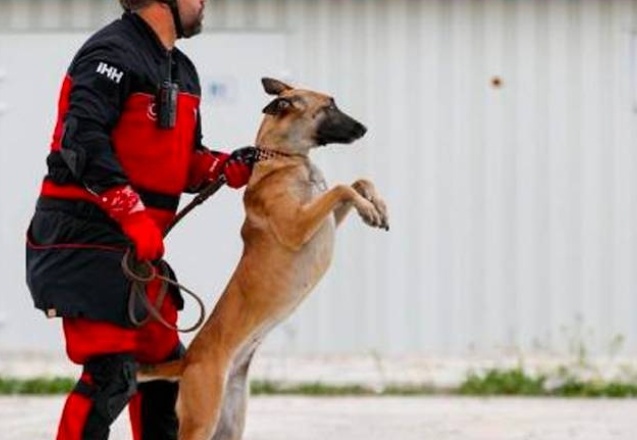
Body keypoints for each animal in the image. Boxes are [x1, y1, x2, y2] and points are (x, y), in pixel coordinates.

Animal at [140, 77, 388, 438]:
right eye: (328, 107)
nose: (365, 128)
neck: (285, 159)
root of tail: (188, 362)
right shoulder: (298, 226)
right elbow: (341, 187)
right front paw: (369, 208)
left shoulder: (324, 220)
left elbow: (357, 182)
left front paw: (376, 205)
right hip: (202, 420)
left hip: (230, 423)